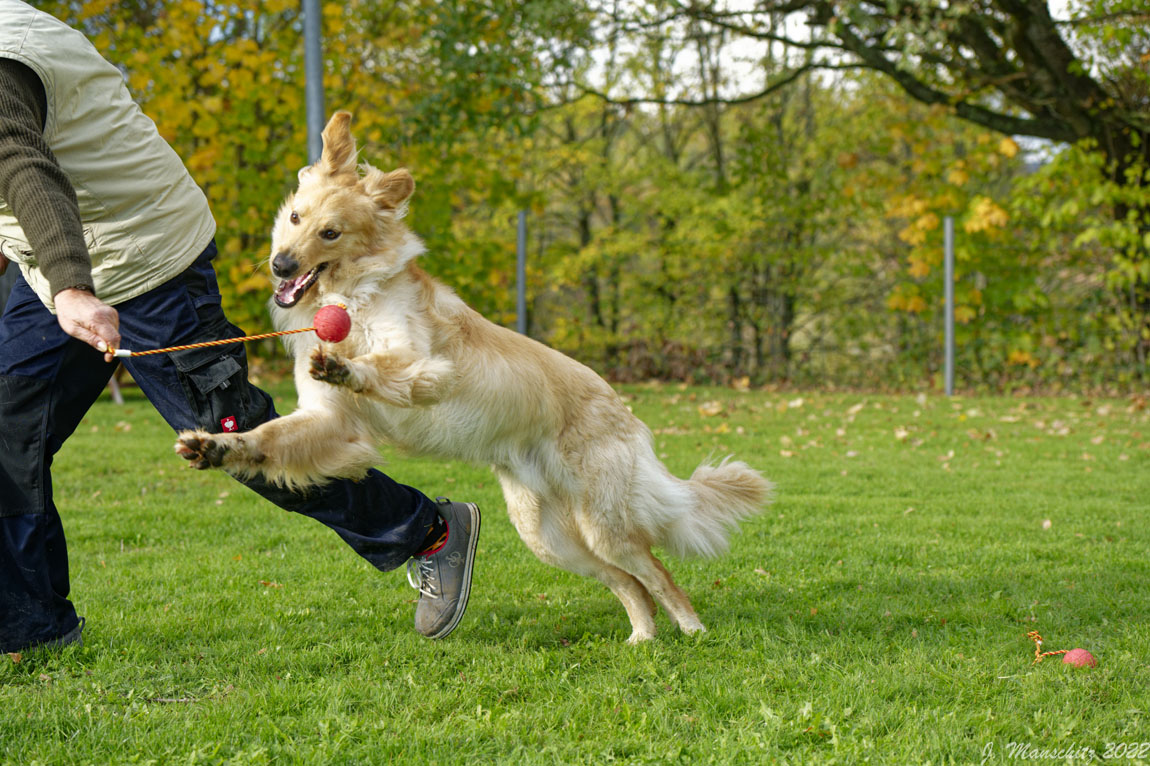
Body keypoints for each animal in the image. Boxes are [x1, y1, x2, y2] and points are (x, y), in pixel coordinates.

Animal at [177, 110, 772, 639]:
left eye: (331, 233)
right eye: (296, 218)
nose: (281, 265)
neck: (354, 298)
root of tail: (621, 407)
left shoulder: (430, 369)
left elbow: (386, 368)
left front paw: (346, 366)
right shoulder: (330, 423)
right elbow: (267, 438)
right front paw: (216, 446)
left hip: (605, 525)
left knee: (659, 575)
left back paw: (692, 632)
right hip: (549, 537)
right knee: (630, 585)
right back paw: (643, 639)